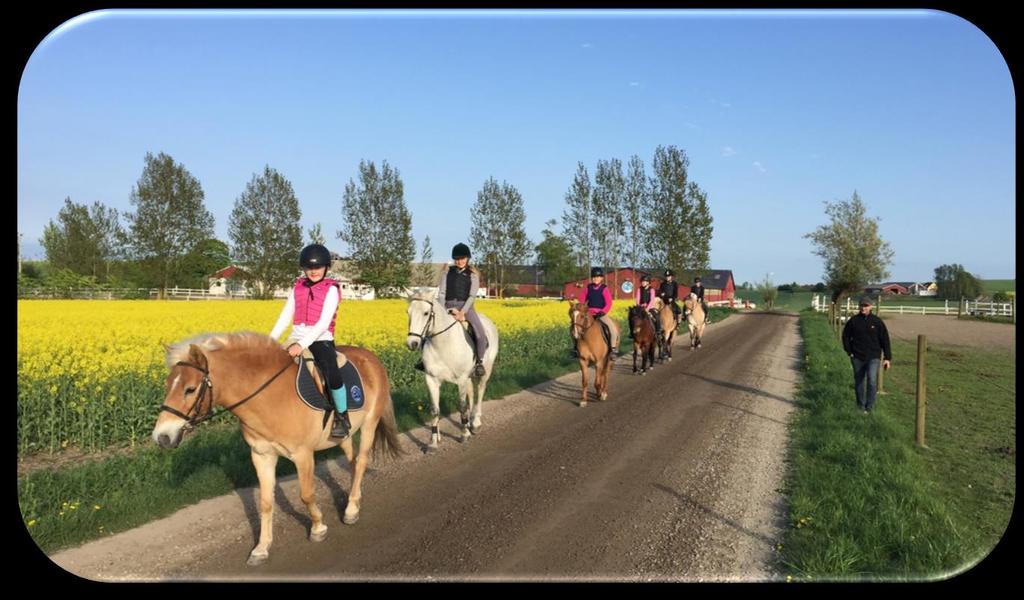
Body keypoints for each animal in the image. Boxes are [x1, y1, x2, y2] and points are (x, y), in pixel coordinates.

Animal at [151, 331, 403, 565]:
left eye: (190, 389)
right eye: (167, 385)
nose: (162, 437)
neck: (268, 397)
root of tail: (371, 357)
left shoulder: (303, 455)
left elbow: (306, 495)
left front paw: (318, 528)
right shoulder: (261, 456)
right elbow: (265, 502)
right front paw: (261, 548)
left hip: (370, 424)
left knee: (361, 462)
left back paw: (350, 511)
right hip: (343, 436)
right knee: (353, 461)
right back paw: (354, 499)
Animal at [405, 288, 497, 448]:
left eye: (426, 313)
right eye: (408, 312)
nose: (412, 343)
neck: (442, 343)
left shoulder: (461, 379)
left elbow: (461, 406)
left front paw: (464, 434)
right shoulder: (431, 380)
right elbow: (435, 410)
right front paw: (433, 442)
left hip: (485, 371)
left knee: (480, 392)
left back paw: (476, 423)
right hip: (468, 377)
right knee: (471, 393)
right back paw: (470, 423)